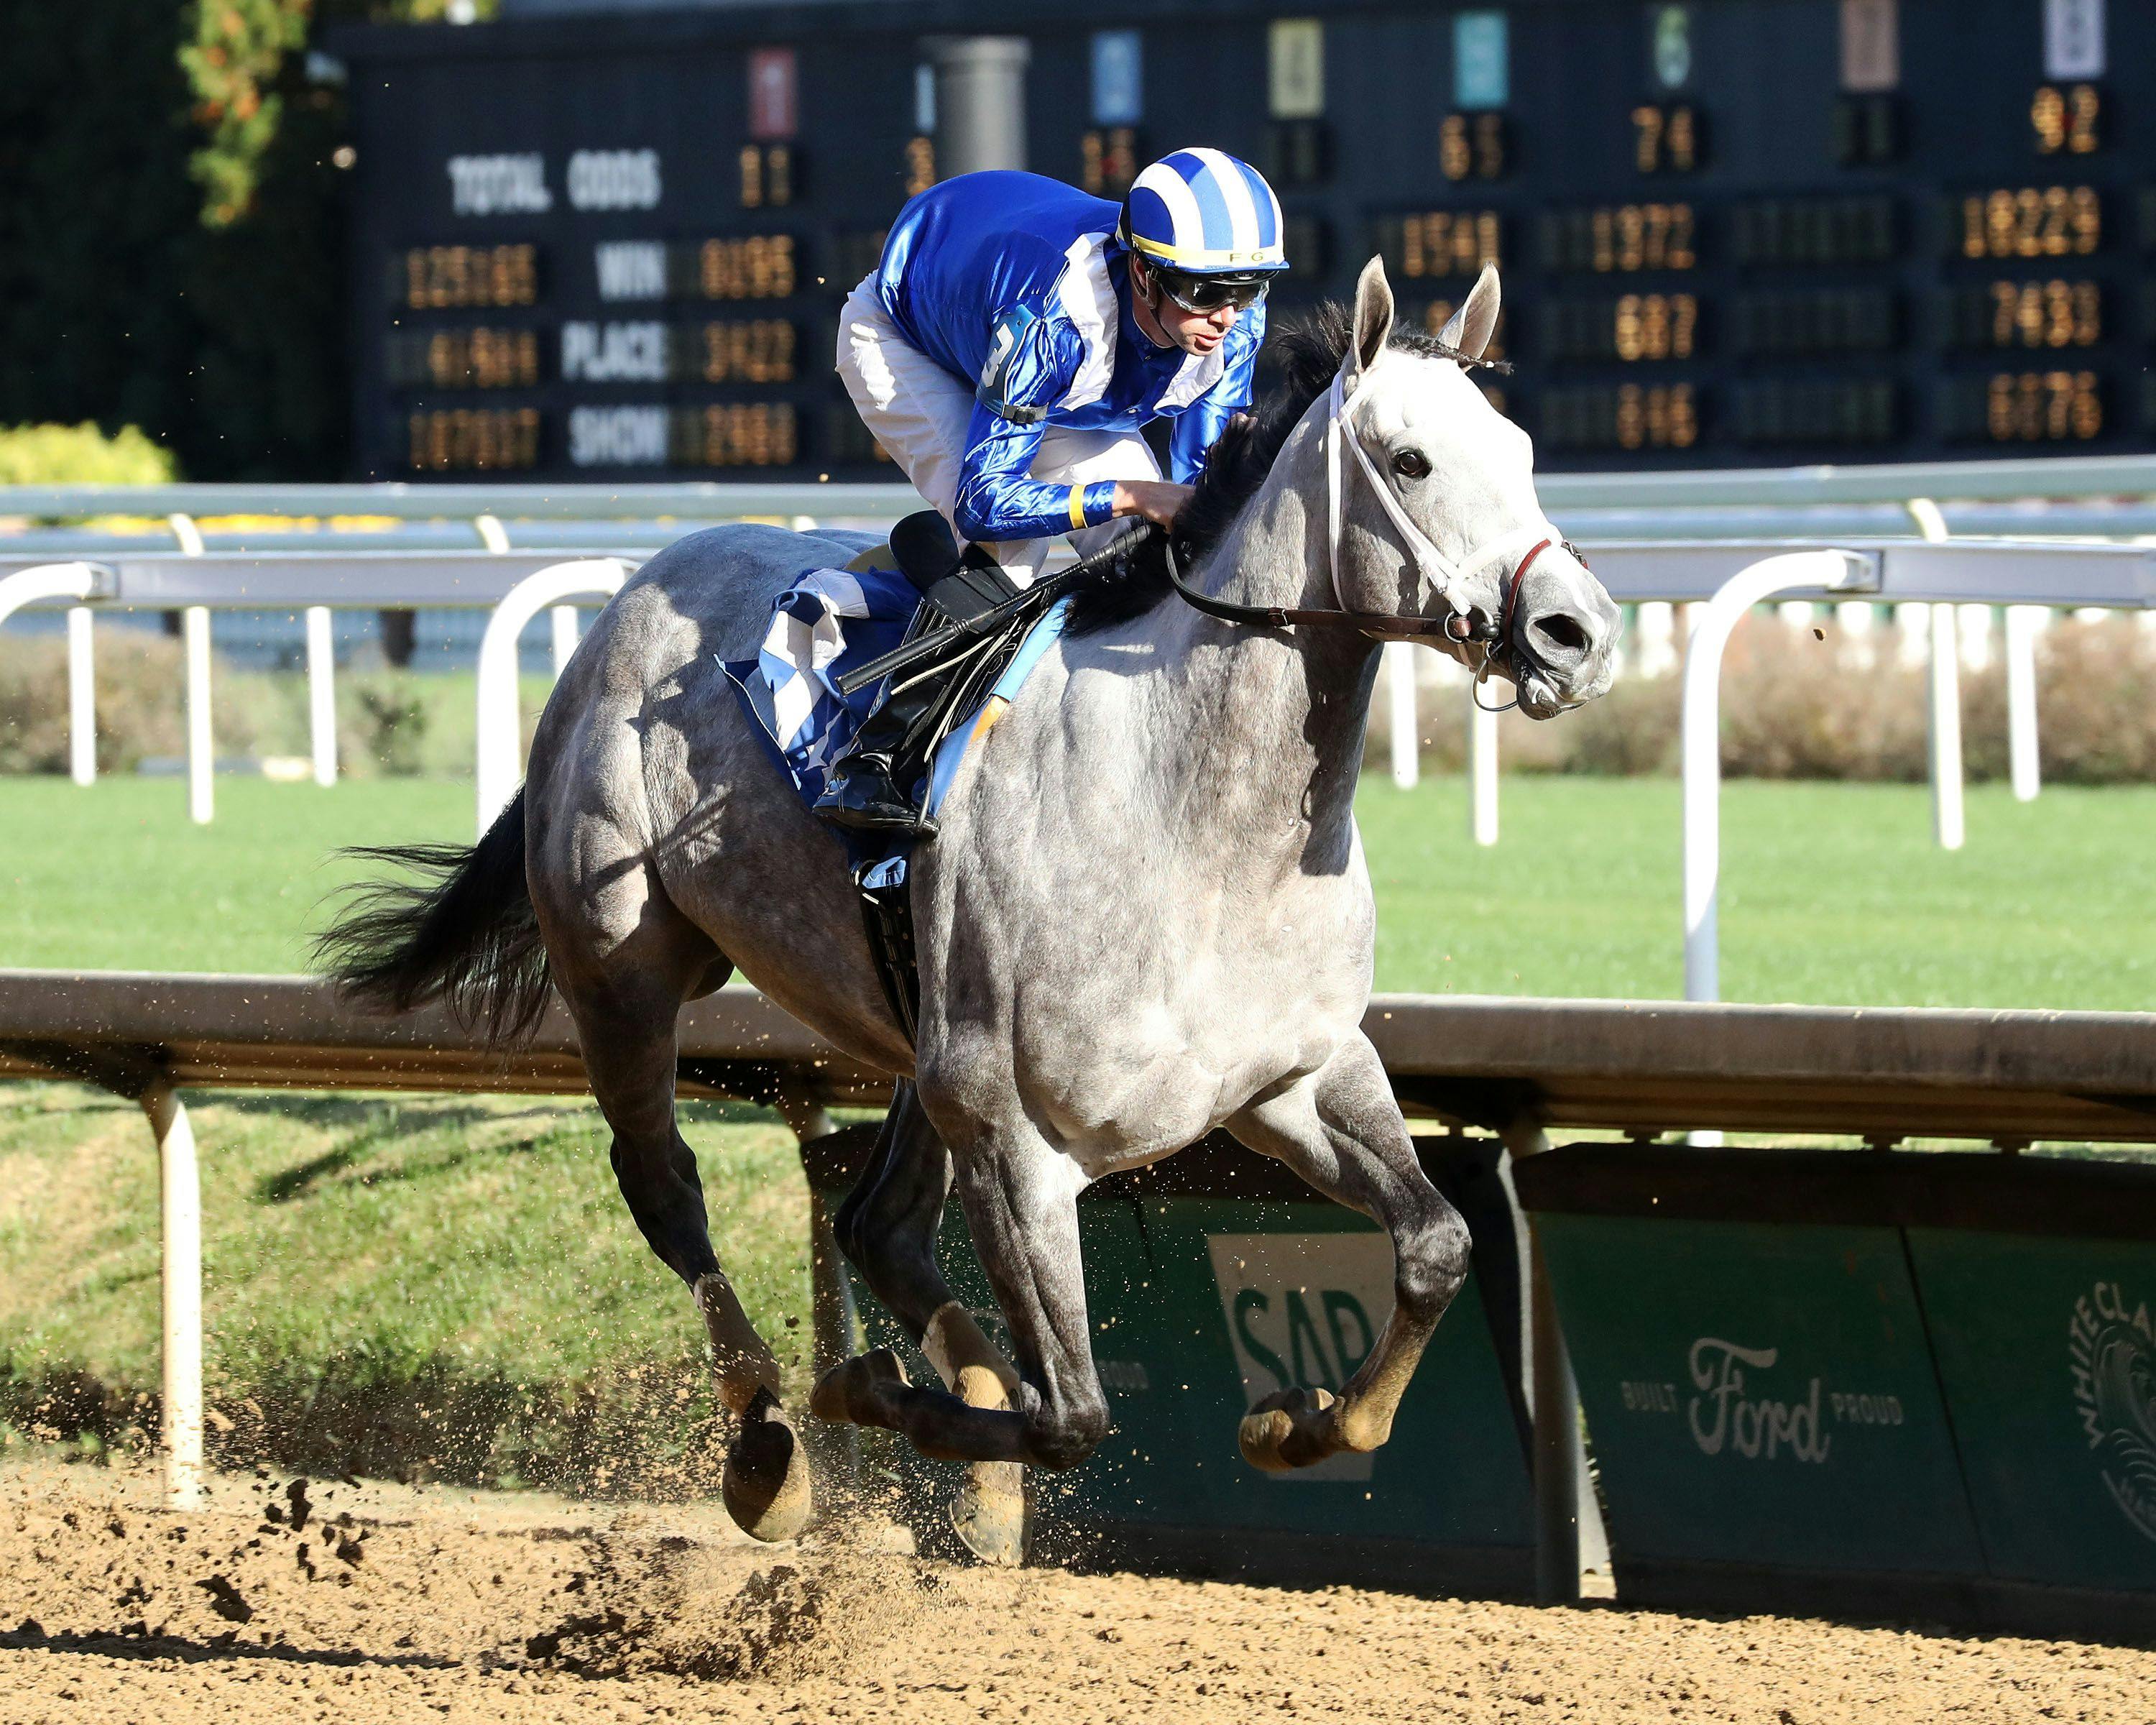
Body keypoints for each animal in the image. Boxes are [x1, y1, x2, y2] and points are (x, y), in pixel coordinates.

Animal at [319, 263, 1621, 1552]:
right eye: (1411, 460)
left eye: (1519, 449)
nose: (1580, 633)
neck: (1201, 830)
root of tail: (627, 602)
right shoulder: (1014, 1131)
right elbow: (1073, 1415)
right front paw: (871, 1390)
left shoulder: (1293, 1078)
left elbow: (1439, 1245)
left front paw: (1300, 1424)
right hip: (626, 967)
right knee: (666, 1184)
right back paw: (767, 1444)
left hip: (914, 1025)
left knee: (877, 1224)